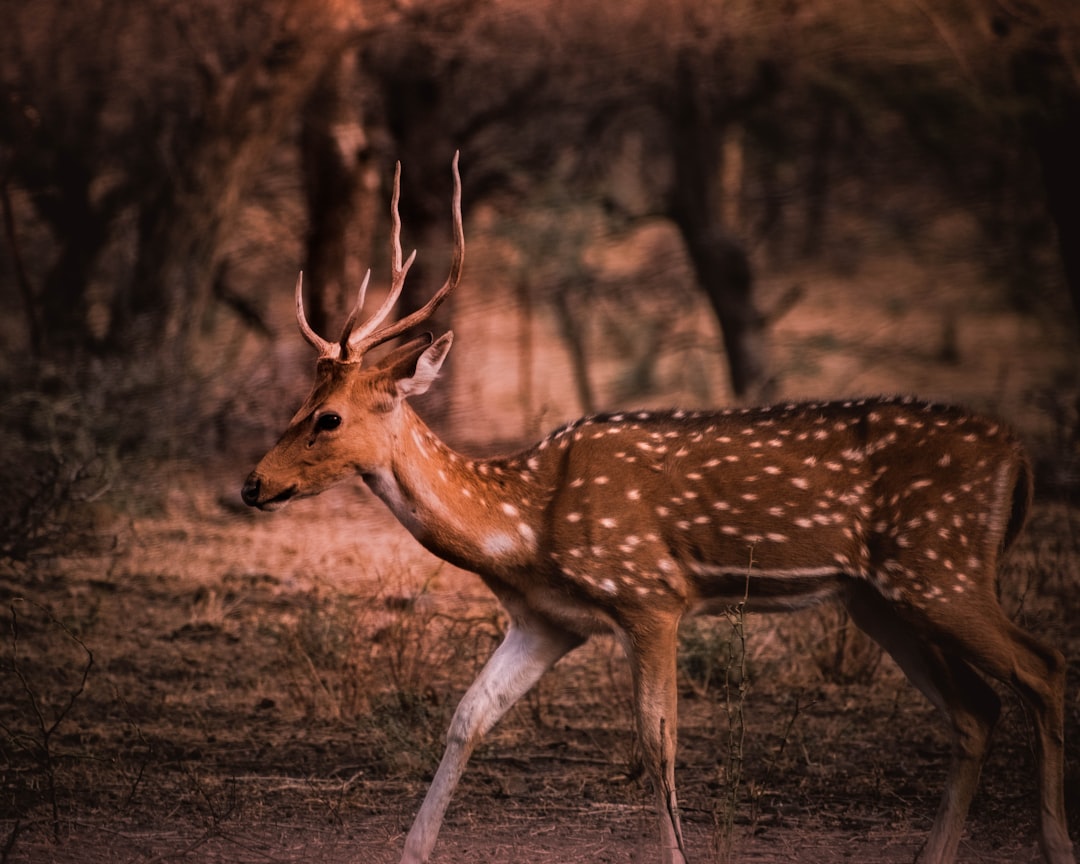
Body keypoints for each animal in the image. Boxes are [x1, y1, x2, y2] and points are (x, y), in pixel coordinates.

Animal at [240, 155, 1075, 864]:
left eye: (327, 418)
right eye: (298, 403)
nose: (252, 483)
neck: (524, 528)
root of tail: (1018, 456)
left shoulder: (651, 595)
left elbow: (657, 739)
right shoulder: (548, 621)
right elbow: (468, 716)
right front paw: (411, 850)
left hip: (940, 567)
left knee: (1043, 666)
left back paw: (1057, 844)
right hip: (881, 597)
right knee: (975, 709)